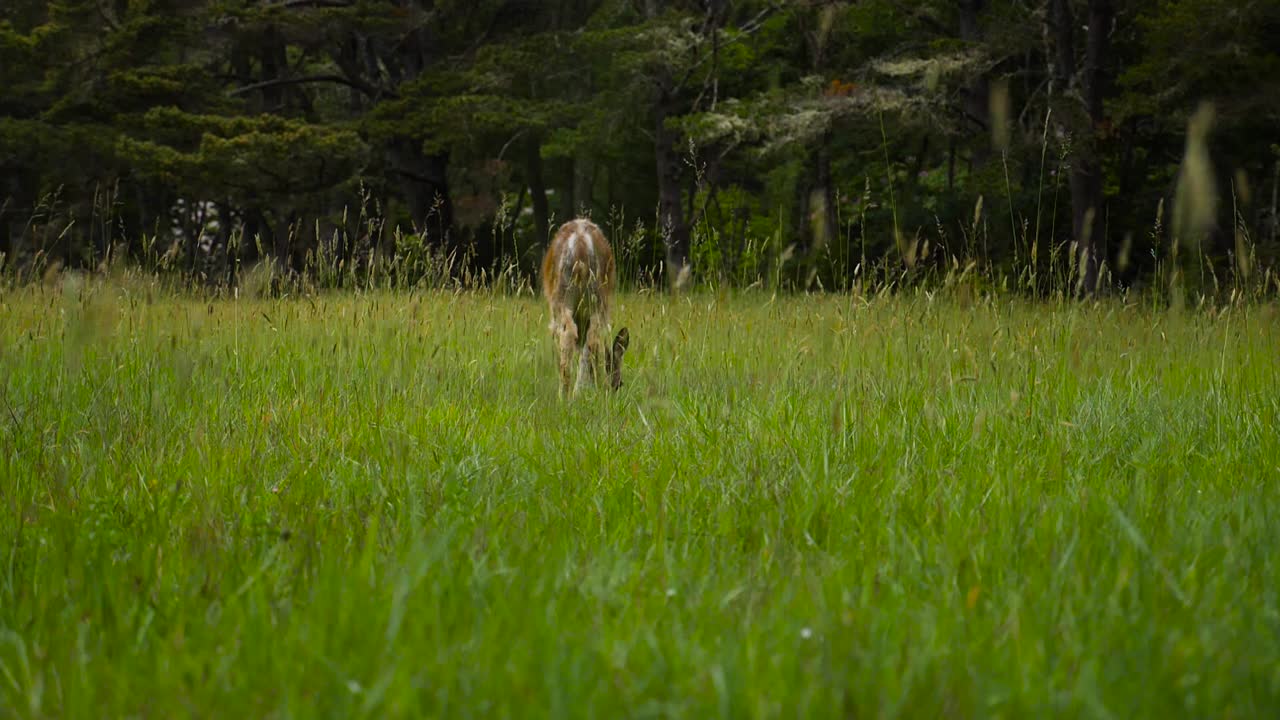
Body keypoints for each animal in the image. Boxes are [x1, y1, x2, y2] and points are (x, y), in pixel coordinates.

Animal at [540, 218, 630, 398]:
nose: (616, 386)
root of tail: (581, 243)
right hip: (596, 297)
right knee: (592, 339)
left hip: (563, 296)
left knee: (571, 335)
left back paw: (566, 394)